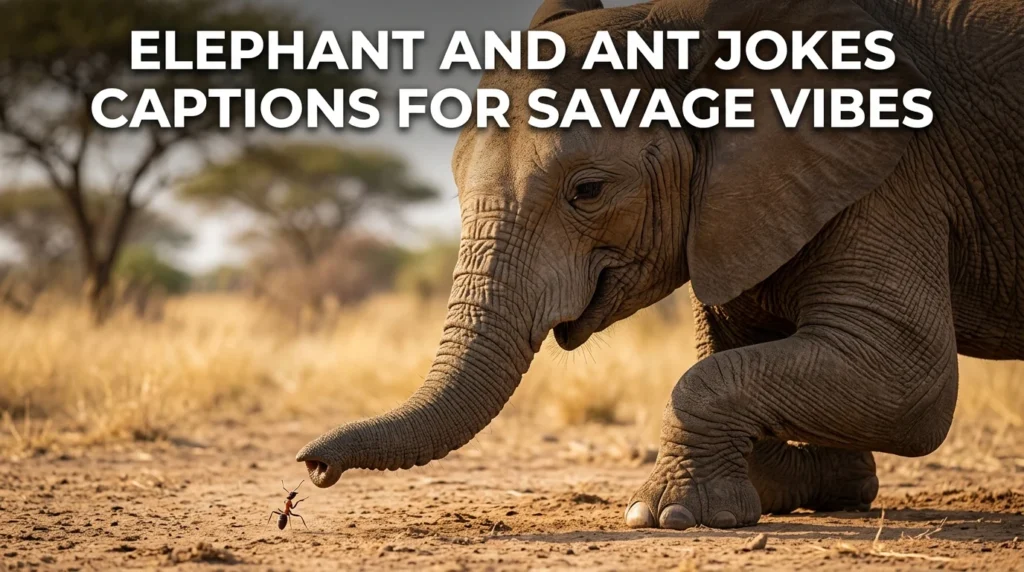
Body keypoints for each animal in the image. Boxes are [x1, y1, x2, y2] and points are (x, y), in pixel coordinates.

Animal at [298, 0, 1024, 530]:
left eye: (588, 191)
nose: (312, 467)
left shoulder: (893, 173)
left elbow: (911, 383)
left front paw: (663, 515)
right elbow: (739, 354)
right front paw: (821, 481)